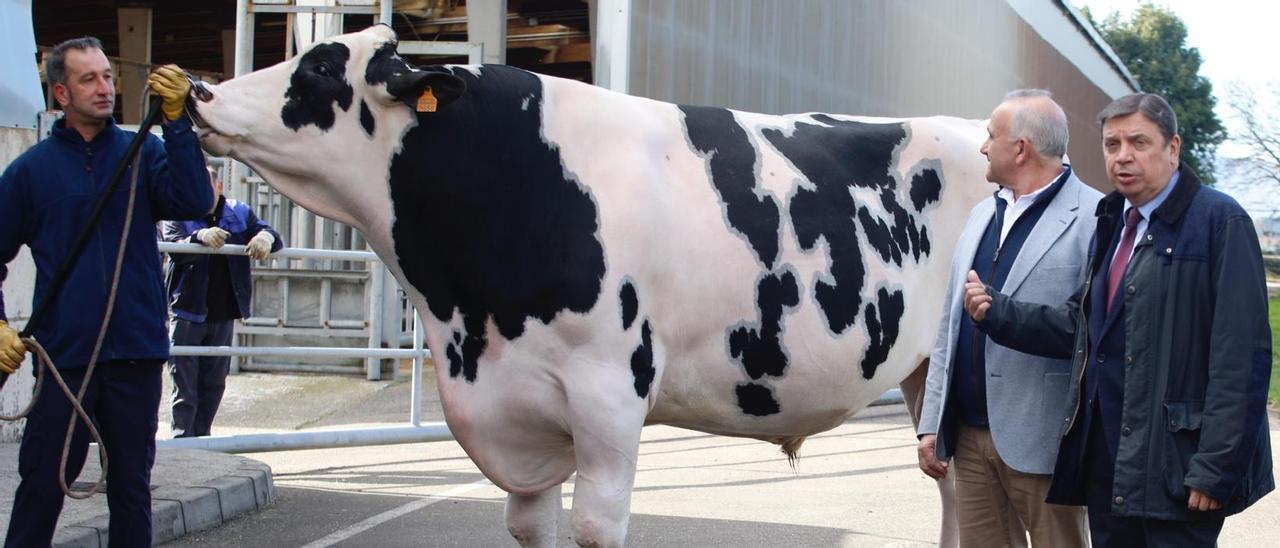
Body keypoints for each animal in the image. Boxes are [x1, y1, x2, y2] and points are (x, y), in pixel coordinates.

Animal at [192, 24, 988, 548]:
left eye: (322, 69)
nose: (198, 88)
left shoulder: (609, 392)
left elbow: (597, 526)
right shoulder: (516, 404)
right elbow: (527, 523)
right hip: (926, 369)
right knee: (948, 479)